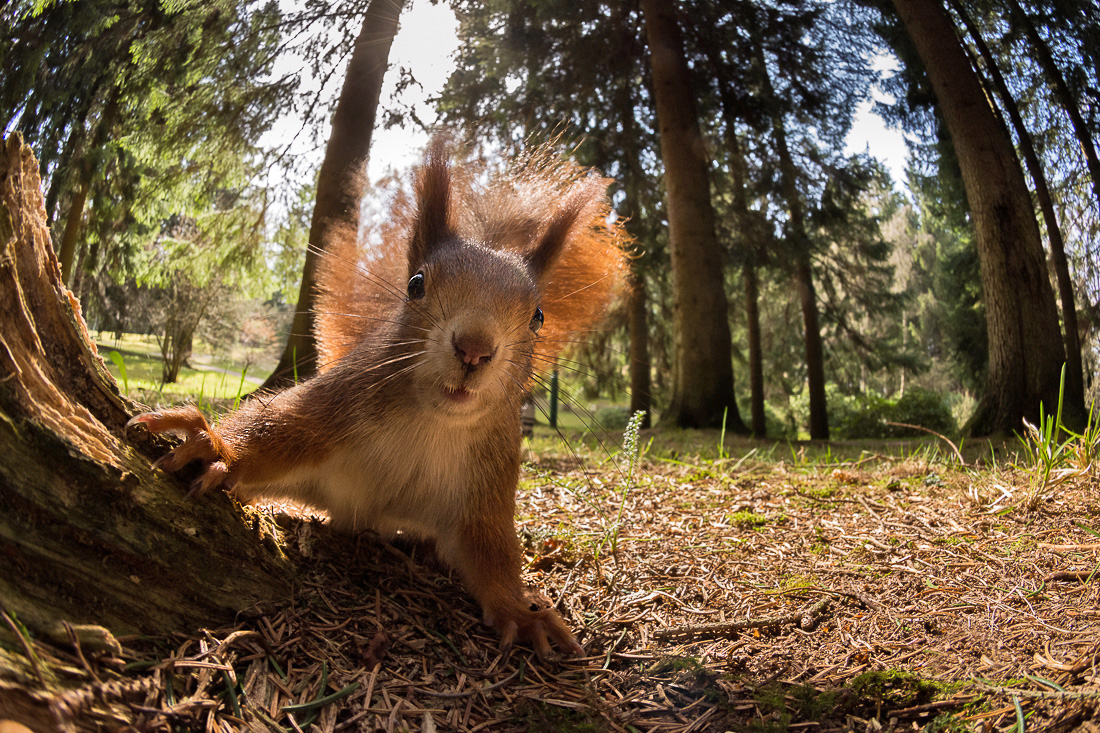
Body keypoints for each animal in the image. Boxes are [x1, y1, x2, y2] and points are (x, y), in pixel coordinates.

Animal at [126, 143, 629, 655]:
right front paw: (215, 447)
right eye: (416, 284)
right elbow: (276, 431)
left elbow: (491, 551)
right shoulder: (335, 405)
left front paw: (522, 613)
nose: (474, 348)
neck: (433, 421)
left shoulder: (487, 482)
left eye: (538, 317)